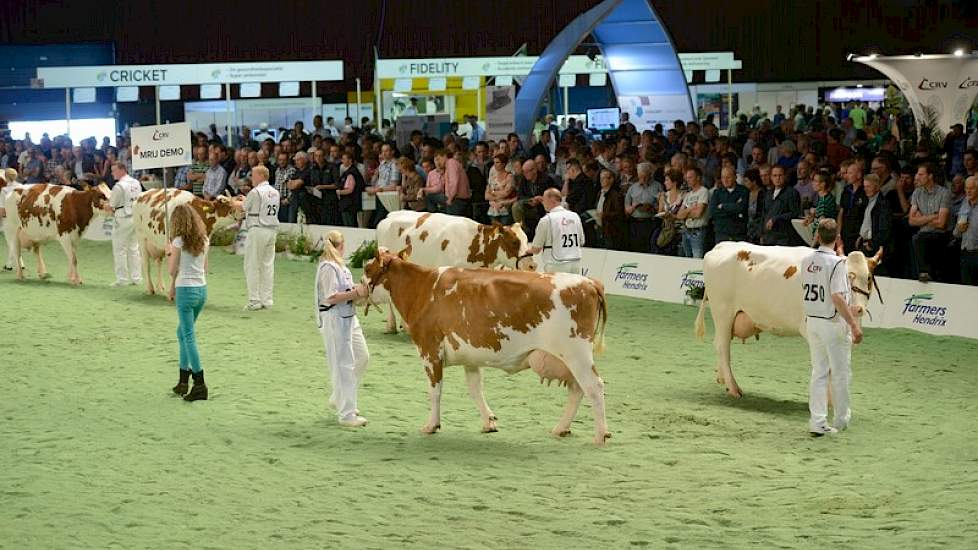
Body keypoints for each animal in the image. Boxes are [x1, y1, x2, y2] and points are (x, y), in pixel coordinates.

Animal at [362, 252, 608, 446]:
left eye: (367, 269)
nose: (357, 289)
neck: (422, 287)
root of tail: (589, 282)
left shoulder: (429, 349)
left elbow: (435, 391)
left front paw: (431, 425)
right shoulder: (469, 356)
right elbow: (475, 389)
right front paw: (489, 422)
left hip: (576, 353)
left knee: (593, 387)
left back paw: (600, 436)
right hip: (570, 359)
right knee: (577, 389)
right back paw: (561, 428)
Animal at [692, 244, 880, 398]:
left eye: (869, 278)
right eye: (845, 277)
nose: (857, 309)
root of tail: (721, 246)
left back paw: (722, 378)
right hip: (722, 311)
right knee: (722, 346)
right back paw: (733, 388)